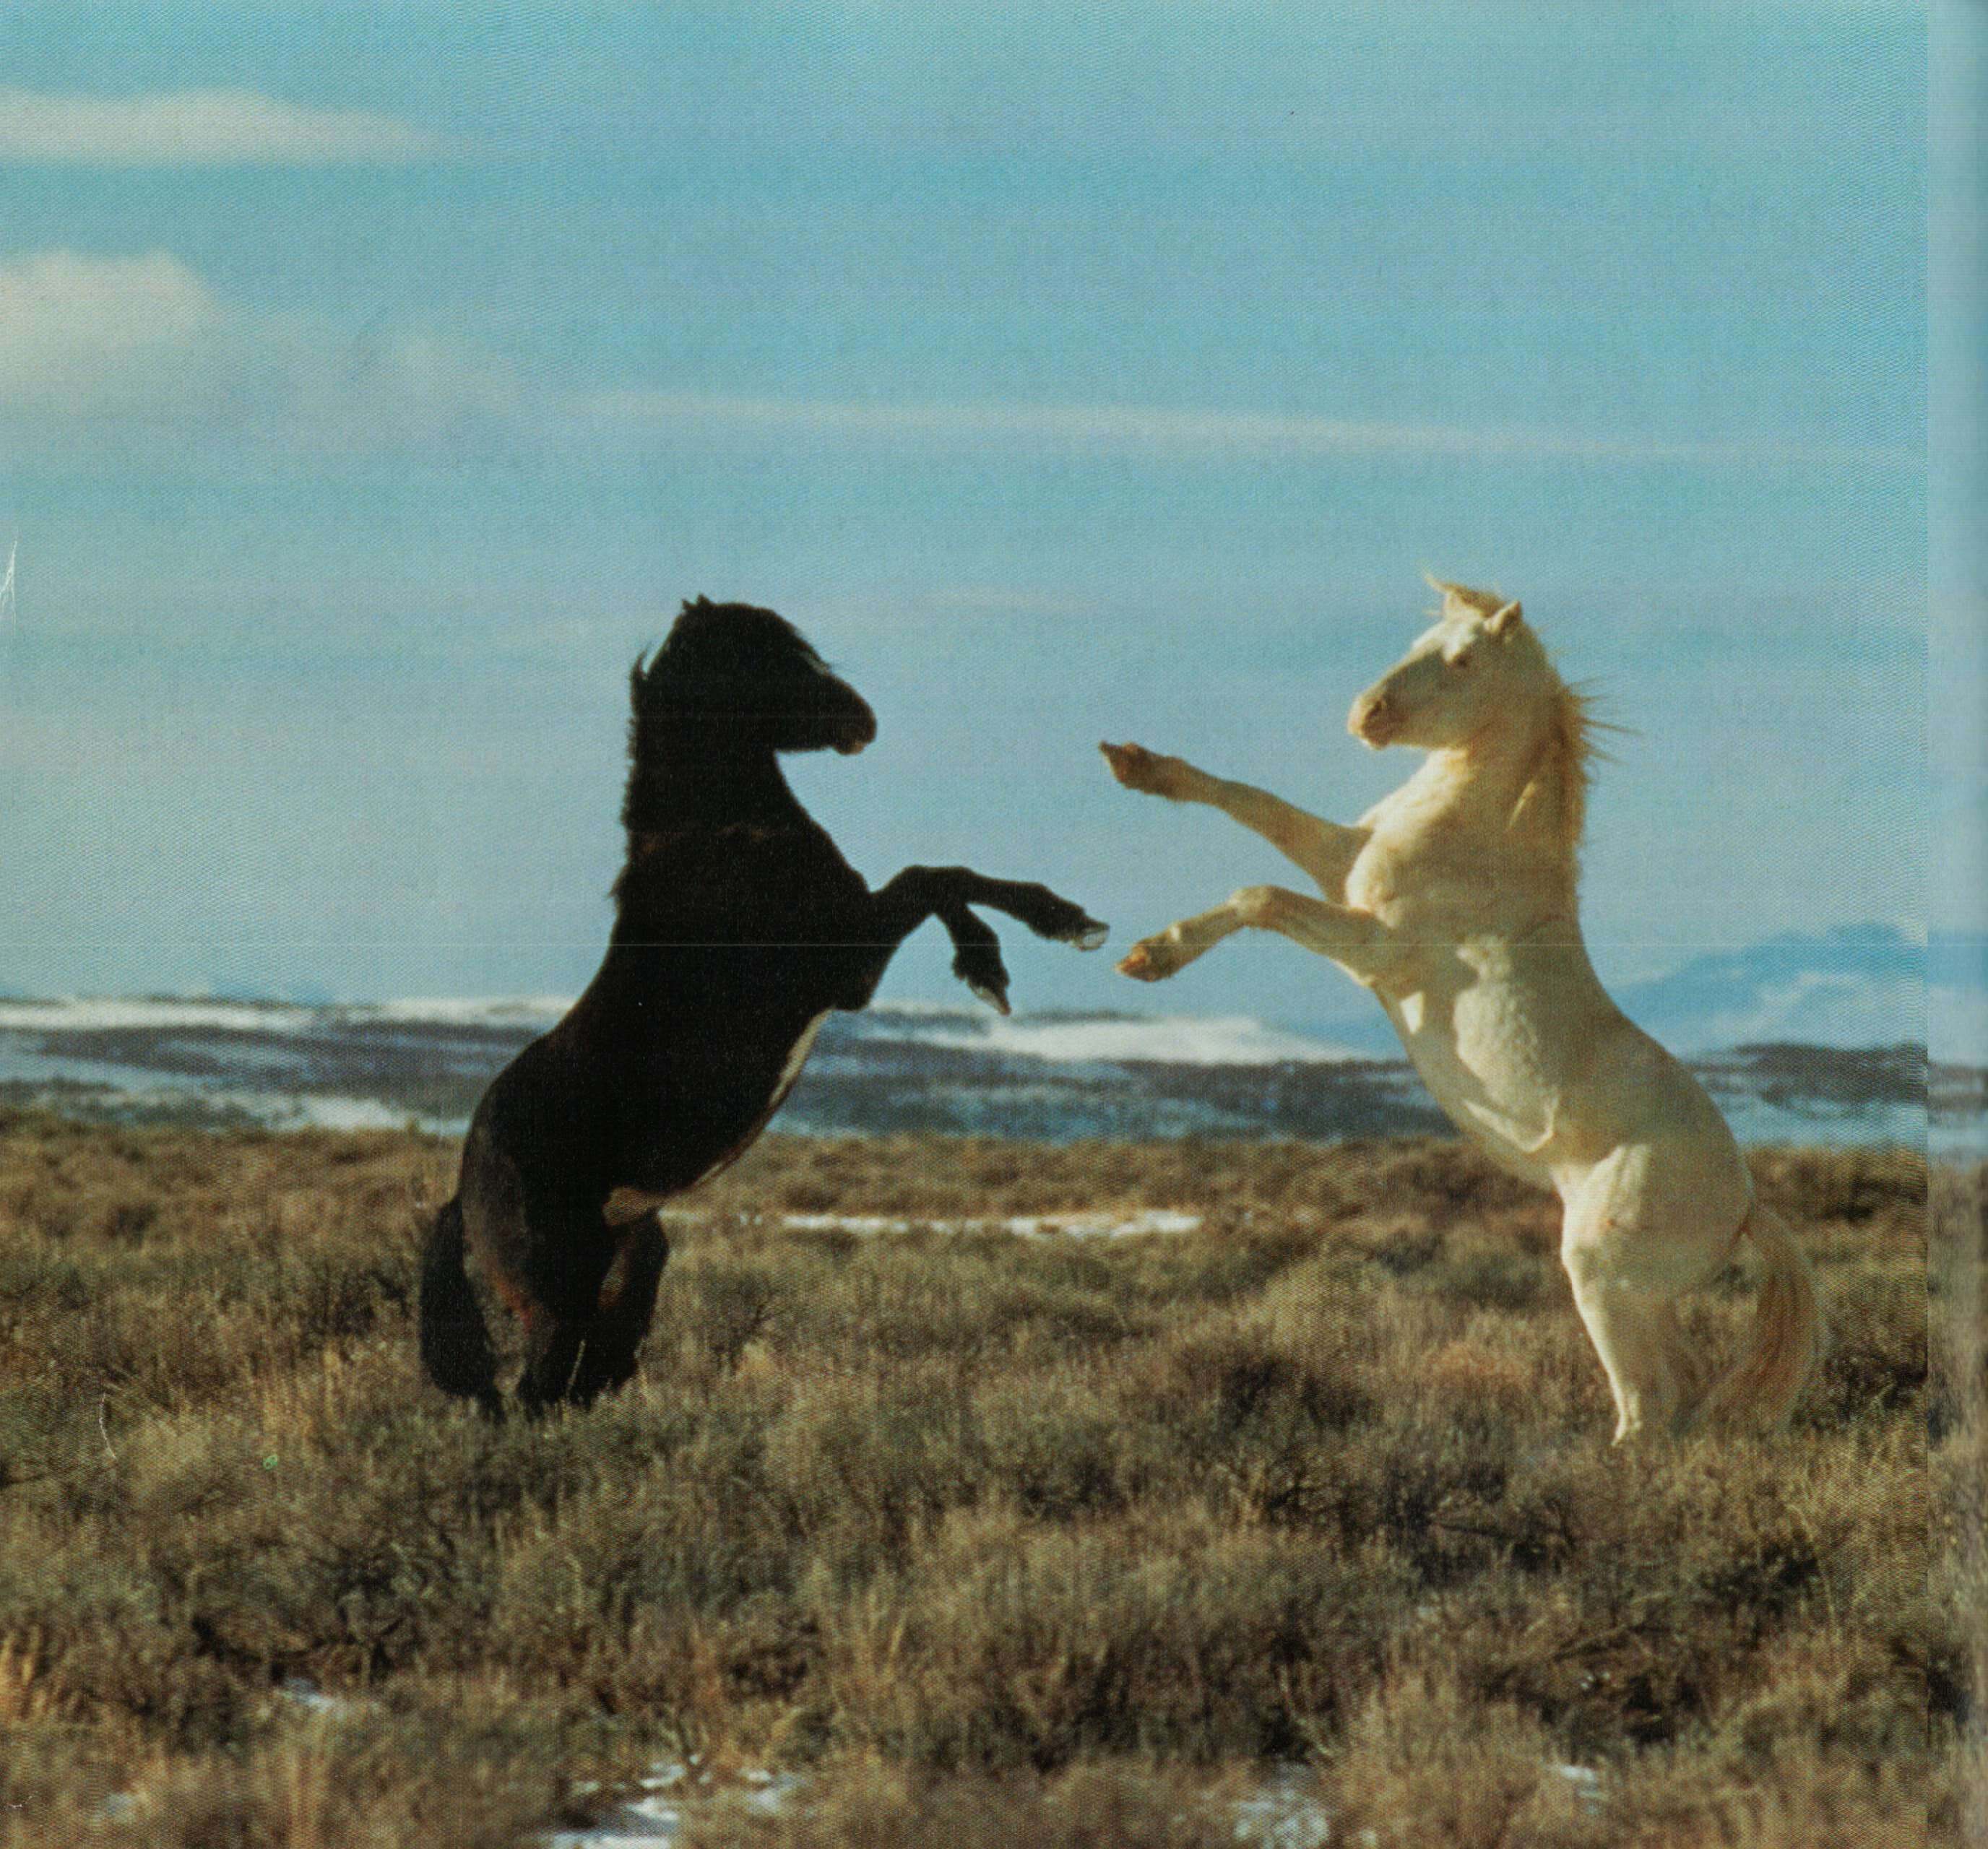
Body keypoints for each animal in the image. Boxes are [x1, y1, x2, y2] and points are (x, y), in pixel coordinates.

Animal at [420, 597, 1108, 1415]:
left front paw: (1038, 941)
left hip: (627, 1264)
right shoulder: (848, 964)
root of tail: (463, 1193)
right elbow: (934, 876)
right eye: (765, 658)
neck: (726, 836)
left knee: (578, 1382)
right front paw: (1015, 951)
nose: (861, 719)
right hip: (555, 1293)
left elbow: (947, 877)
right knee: (533, 1396)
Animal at [1101, 578, 1818, 1443]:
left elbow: (1259, 894)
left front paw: (1153, 956)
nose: (1367, 713)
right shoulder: (1343, 863)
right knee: (1678, 1395)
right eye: (1421, 640)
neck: (1473, 838)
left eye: (1465, 659)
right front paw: (1139, 768)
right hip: (1646, 1301)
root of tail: (1746, 1207)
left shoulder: (1375, 948)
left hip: (1602, 1279)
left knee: (1647, 1408)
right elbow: (1255, 804)